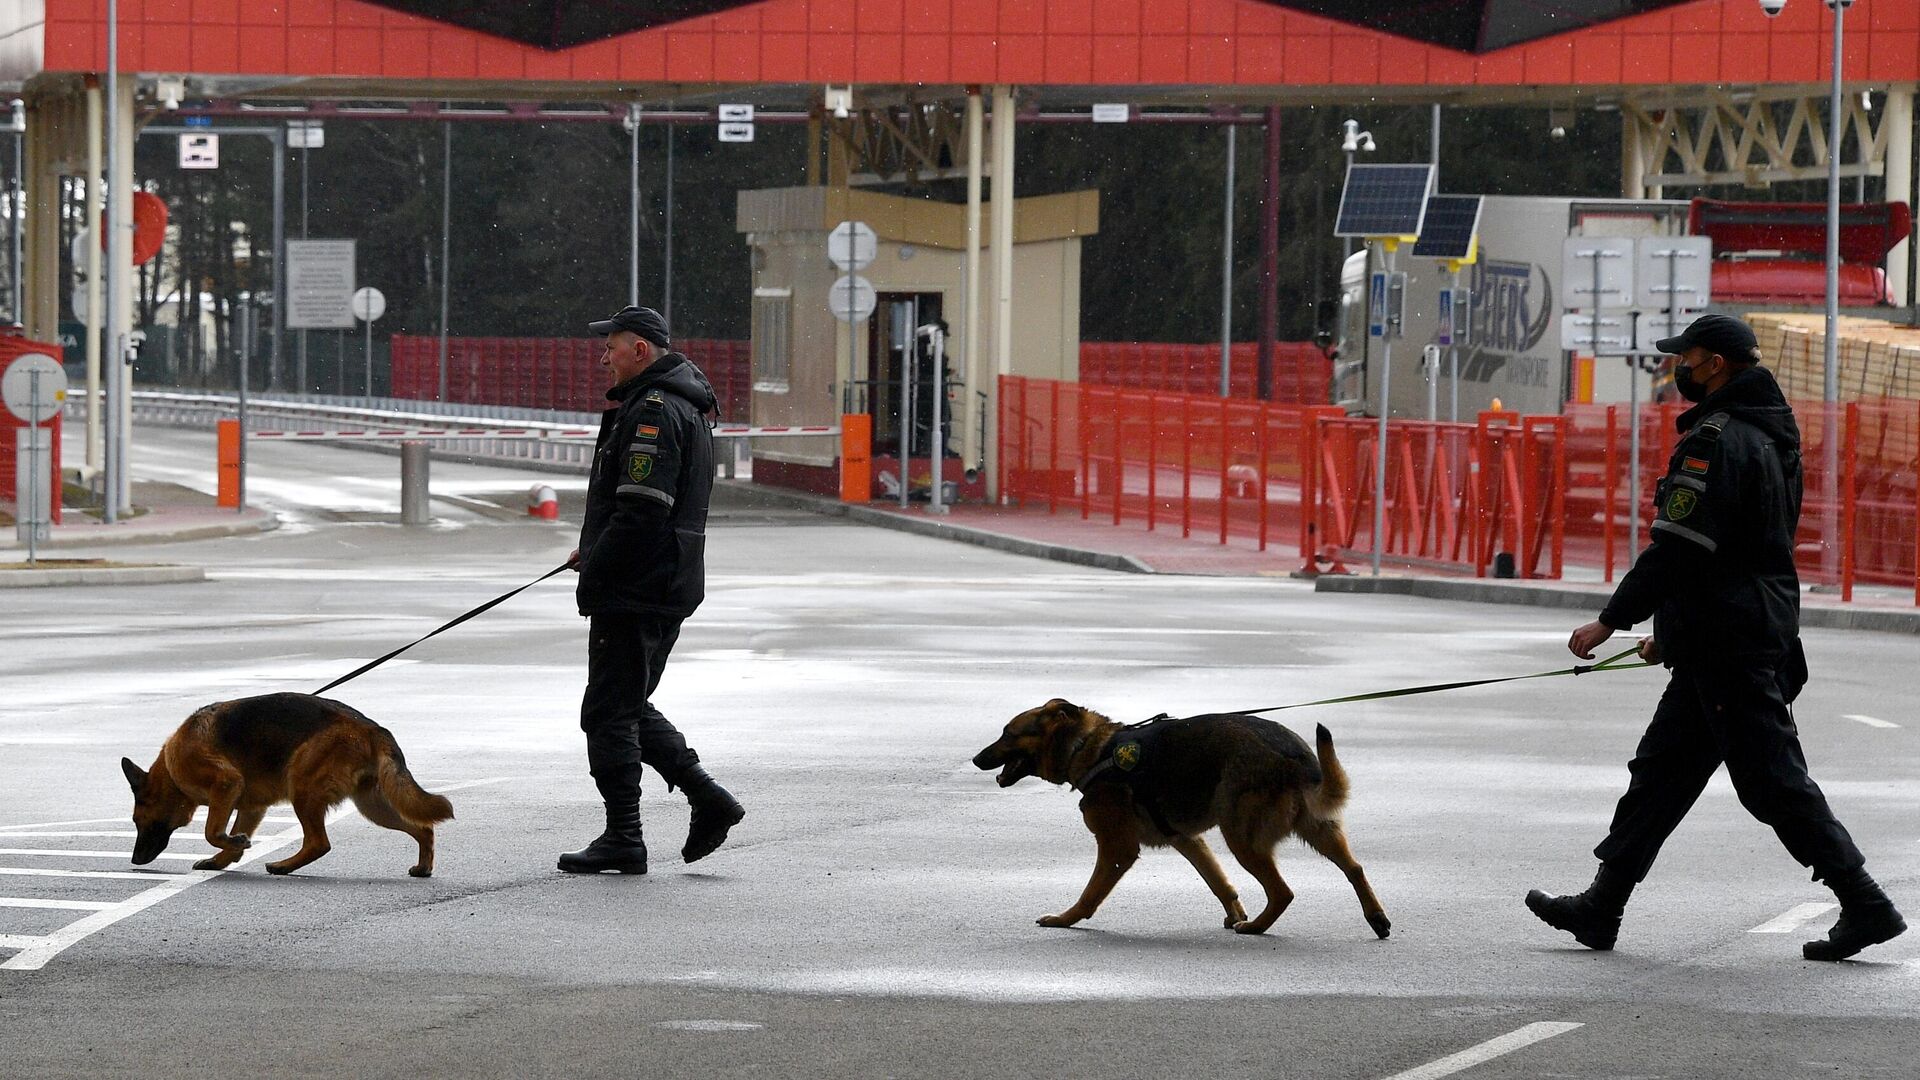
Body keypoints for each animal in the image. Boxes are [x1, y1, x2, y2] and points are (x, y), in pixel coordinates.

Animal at [122, 687, 453, 876]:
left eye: (139, 821)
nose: (135, 860)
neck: (171, 769)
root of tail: (372, 728)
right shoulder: (250, 807)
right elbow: (230, 833)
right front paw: (225, 857)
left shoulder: (226, 784)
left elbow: (211, 831)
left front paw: (233, 844)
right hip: (374, 806)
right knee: (423, 828)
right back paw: (424, 867)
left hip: (304, 790)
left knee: (319, 843)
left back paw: (284, 866)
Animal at [967, 699, 1390, 933]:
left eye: (1007, 733)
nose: (974, 759)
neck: (1091, 748)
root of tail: (1295, 755)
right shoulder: (1187, 839)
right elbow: (1220, 883)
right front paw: (1233, 911)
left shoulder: (1117, 849)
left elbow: (1090, 895)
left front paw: (1065, 919)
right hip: (1318, 830)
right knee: (1355, 868)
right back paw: (1377, 919)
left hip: (1242, 839)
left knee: (1283, 891)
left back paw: (1255, 928)